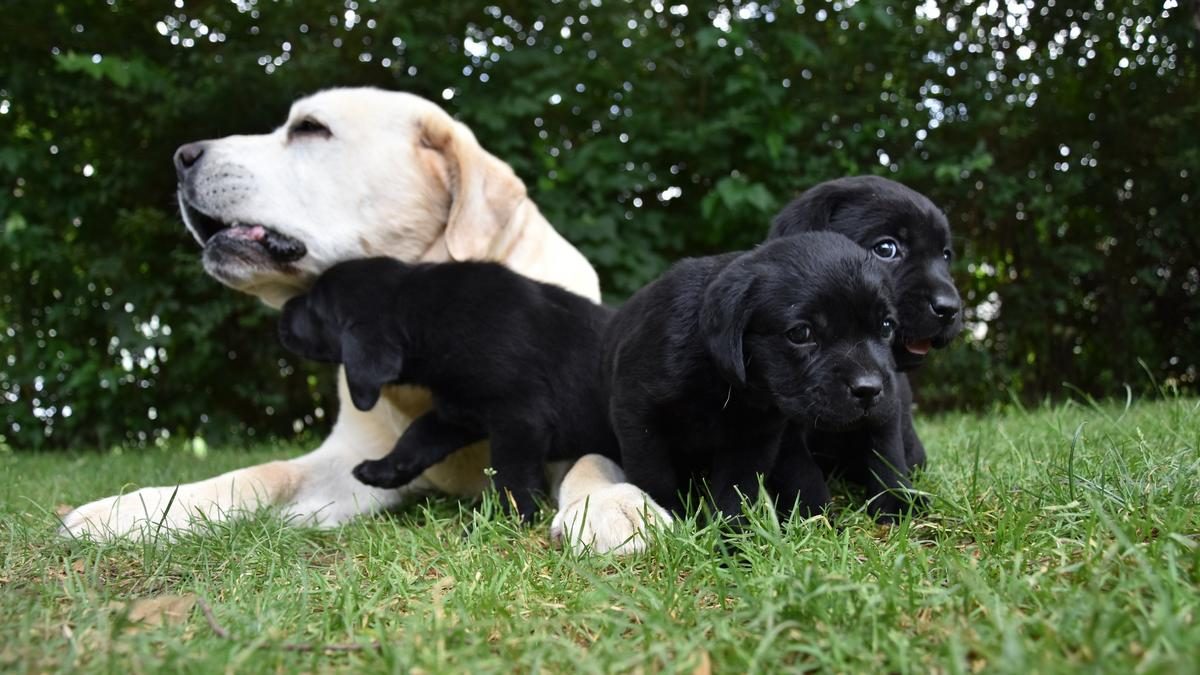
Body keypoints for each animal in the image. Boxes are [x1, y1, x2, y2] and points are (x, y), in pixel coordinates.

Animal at [274, 254, 657, 523]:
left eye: (314, 308)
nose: (283, 311)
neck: (424, 314)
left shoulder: (519, 418)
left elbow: (511, 474)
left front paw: (505, 519)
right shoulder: (457, 412)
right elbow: (417, 435)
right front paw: (384, 469)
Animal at [604, 230, 921, 521]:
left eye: (886, 326)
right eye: (801, 333)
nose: (869, 389)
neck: (718, 379)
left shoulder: (755, 436)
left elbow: (736, 489)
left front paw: (732, 534)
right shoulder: (636, 412)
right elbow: (653, 474)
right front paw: (668, 517)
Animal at [768, 172, 964, 514]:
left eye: (945, 255)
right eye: (886, 248)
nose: (950, 308)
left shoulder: (885, 399)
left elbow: (885, 453)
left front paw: (898, 502)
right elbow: (800, 470)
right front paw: (813, 514)